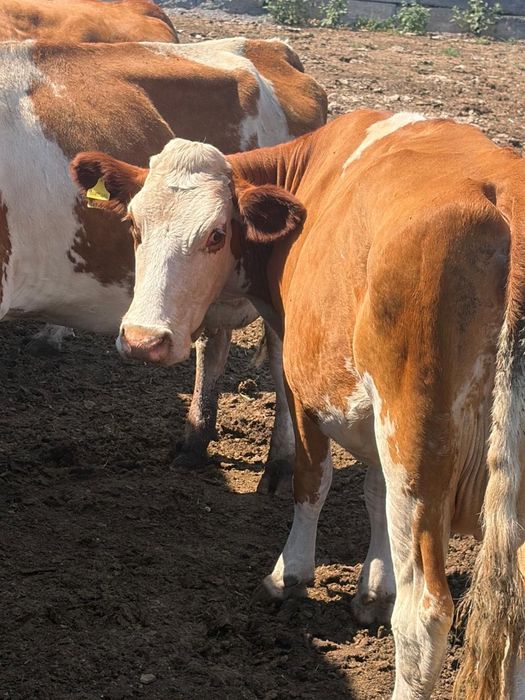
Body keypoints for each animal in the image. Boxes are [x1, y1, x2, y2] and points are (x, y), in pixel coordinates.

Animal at [0, 38, 327, 493]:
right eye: (132, 225)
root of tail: (266, 45)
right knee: (214, 343)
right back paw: (194, 442)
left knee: (281, 368)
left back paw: (278, 465)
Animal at [72, 109, 525, 699]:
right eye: (134, 226)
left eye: (216, 235)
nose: (144, 340)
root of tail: (505, 195)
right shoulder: (367, 403)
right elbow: (373, 491)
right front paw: (373, 586)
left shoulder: (305, 380)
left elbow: (312, 481)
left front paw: (290, 574)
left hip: (417, 445)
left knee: (424, 615)